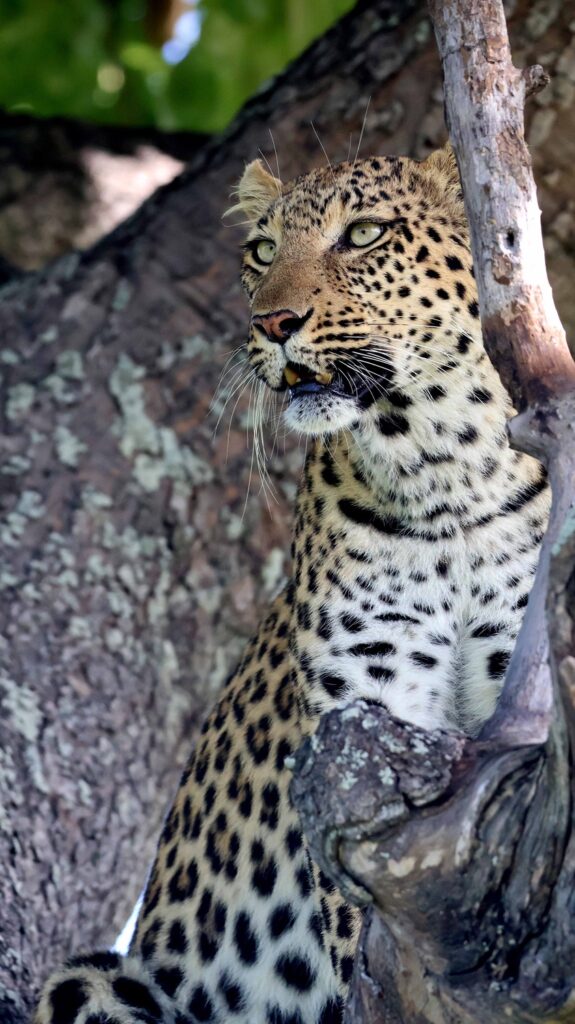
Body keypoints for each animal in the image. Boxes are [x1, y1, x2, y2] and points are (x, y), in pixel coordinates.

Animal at [34, 145, 550, 1024]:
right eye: (262, 250)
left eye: (364, 234)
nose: (274, 324)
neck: (439, 470)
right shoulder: (363, 723)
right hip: (95, 979)